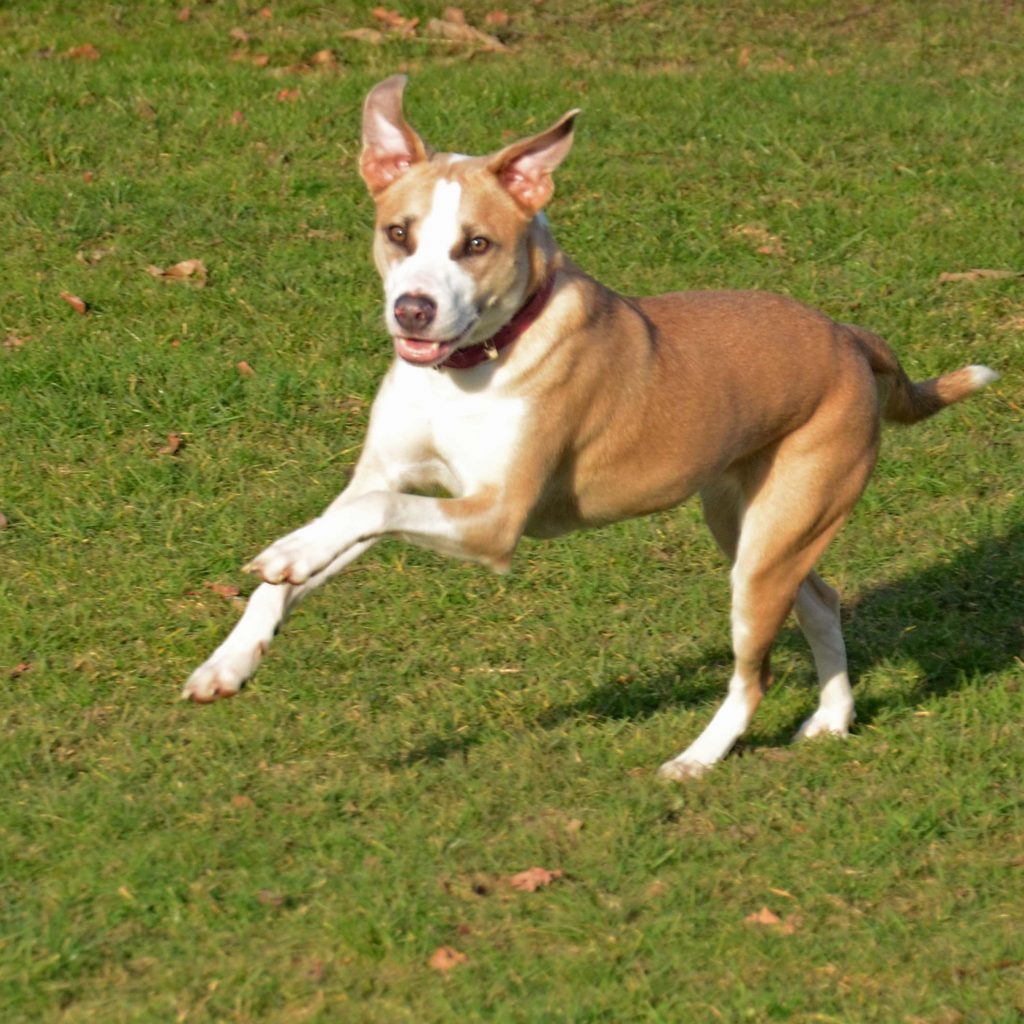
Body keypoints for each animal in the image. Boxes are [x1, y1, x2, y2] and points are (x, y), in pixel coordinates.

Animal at [183, 75, 998, 779]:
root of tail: (848, 336)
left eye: (475, 244)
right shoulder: (390, 480)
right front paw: (235, 654)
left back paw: (696, 759)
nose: (412, 310)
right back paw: (831, 719)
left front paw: (285, 555)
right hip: (753, 527)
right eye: (398, 232)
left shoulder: (493, 519)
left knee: (753, 675)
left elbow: (373, 512)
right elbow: (335, 531)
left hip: (770, 546)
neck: (472, 366)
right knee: (822, 601)